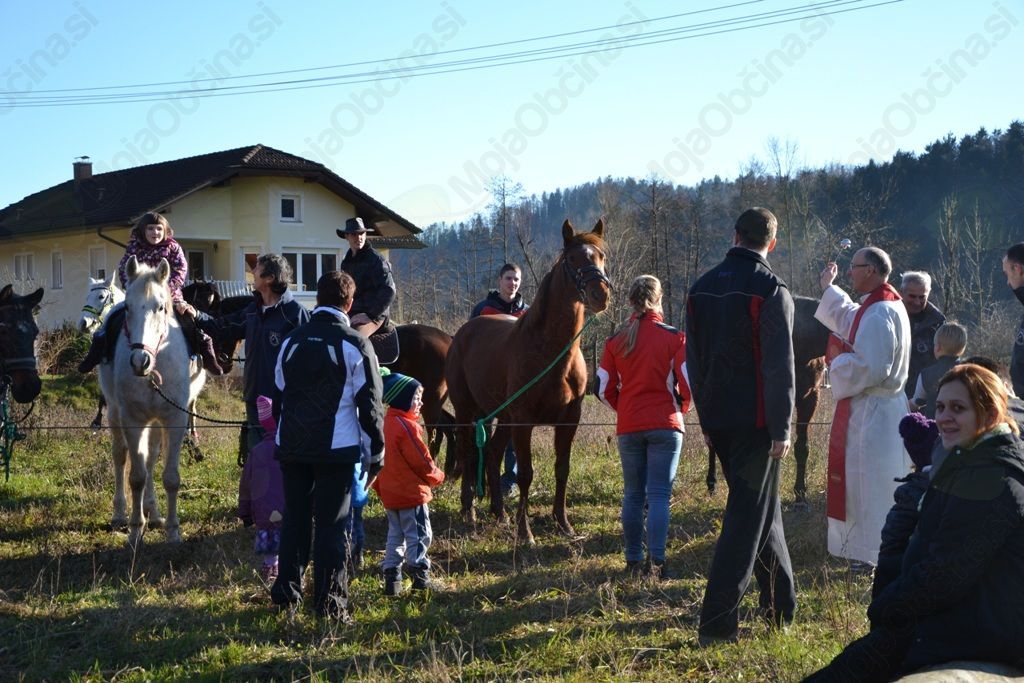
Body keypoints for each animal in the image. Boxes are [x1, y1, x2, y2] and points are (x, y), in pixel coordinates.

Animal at [98, 257, 206, 547]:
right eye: (127, 307)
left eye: (160, 307)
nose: (140, 361)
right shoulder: (132, 421)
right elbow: (136, 477)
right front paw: (135, 531)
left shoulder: (175, 419)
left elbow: (169, 477)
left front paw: (173, 530)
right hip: (115, 414)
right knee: (121, 455)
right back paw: (120, 514)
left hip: (156, 422)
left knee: (150, 458)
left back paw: (154, 513)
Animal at [446, 218, 612, 543]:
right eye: (573, 259)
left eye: (601, 256)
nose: (601, 295)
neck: (549, 350)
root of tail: (462, 333)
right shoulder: (524, 420)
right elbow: (525, 474)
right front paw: (526, 533)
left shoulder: (568, 420)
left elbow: (562, 469)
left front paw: (564, 524)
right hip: (467, 412)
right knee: (469, 454)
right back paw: (470, 513)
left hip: (502, 416)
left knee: (493, 453)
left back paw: (500, 513)